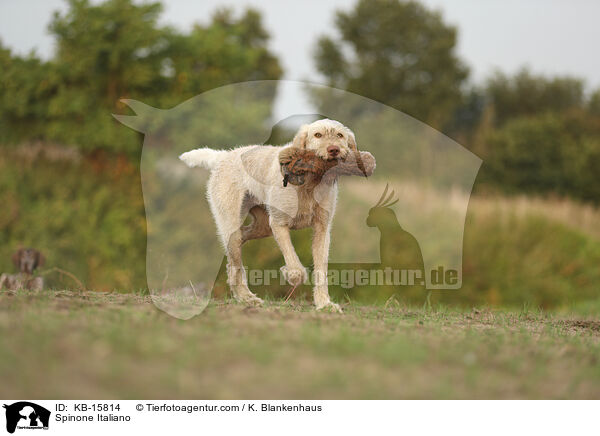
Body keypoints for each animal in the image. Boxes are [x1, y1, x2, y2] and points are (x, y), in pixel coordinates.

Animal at [177, 117, 356, 312]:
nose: (334, 149)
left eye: (340, 135)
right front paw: (292, 274)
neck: (309, 184)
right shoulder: (278, 223)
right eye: (317, 135)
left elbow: (321, 269)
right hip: (234, 222)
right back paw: (247, 297)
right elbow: (293, 261)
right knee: (235, 260)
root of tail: (223, 156)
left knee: (237, 247)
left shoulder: (322, 229)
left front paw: (324, 304)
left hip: (262, 226)